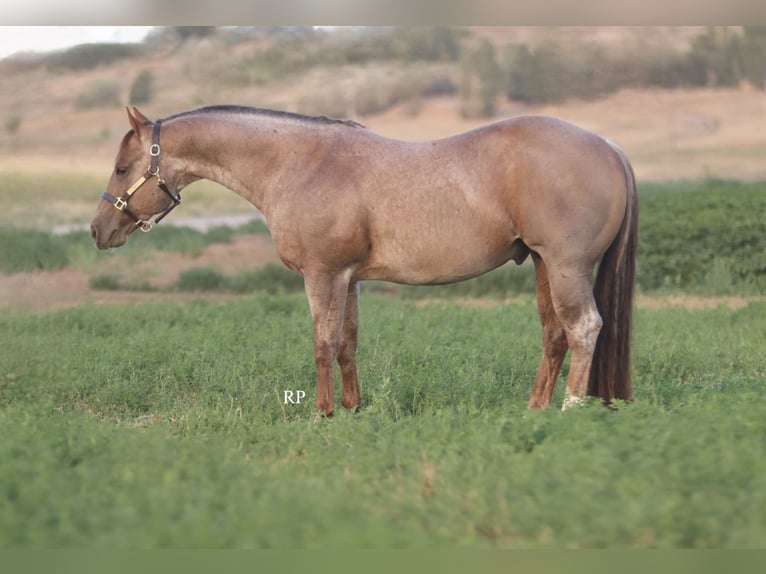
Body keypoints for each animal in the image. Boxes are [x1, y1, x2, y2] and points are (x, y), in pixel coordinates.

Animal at [91, 105, 638, 416]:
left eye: (121, 167)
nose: (98, 231)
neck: (302, 163)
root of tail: (610, 148)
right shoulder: (349, 278)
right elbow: (348, 345)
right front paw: (353, 410)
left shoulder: (323, 275)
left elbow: (322, 344)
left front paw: (323, 414)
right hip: (544, 265)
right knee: (554, 334)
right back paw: (535, 409)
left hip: (566, 267)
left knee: (584, 328)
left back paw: (569, 409)